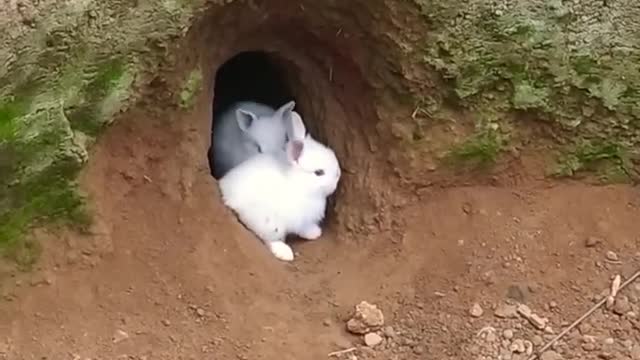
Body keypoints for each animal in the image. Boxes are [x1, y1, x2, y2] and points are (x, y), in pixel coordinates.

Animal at [219, 111, 342, 260]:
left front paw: (315, 232)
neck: (301, 184)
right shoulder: (297, 219)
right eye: (319, 172)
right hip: (268, 221)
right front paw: (314, 233)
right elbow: (301, 228)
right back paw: (284, 253)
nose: (338, 175)